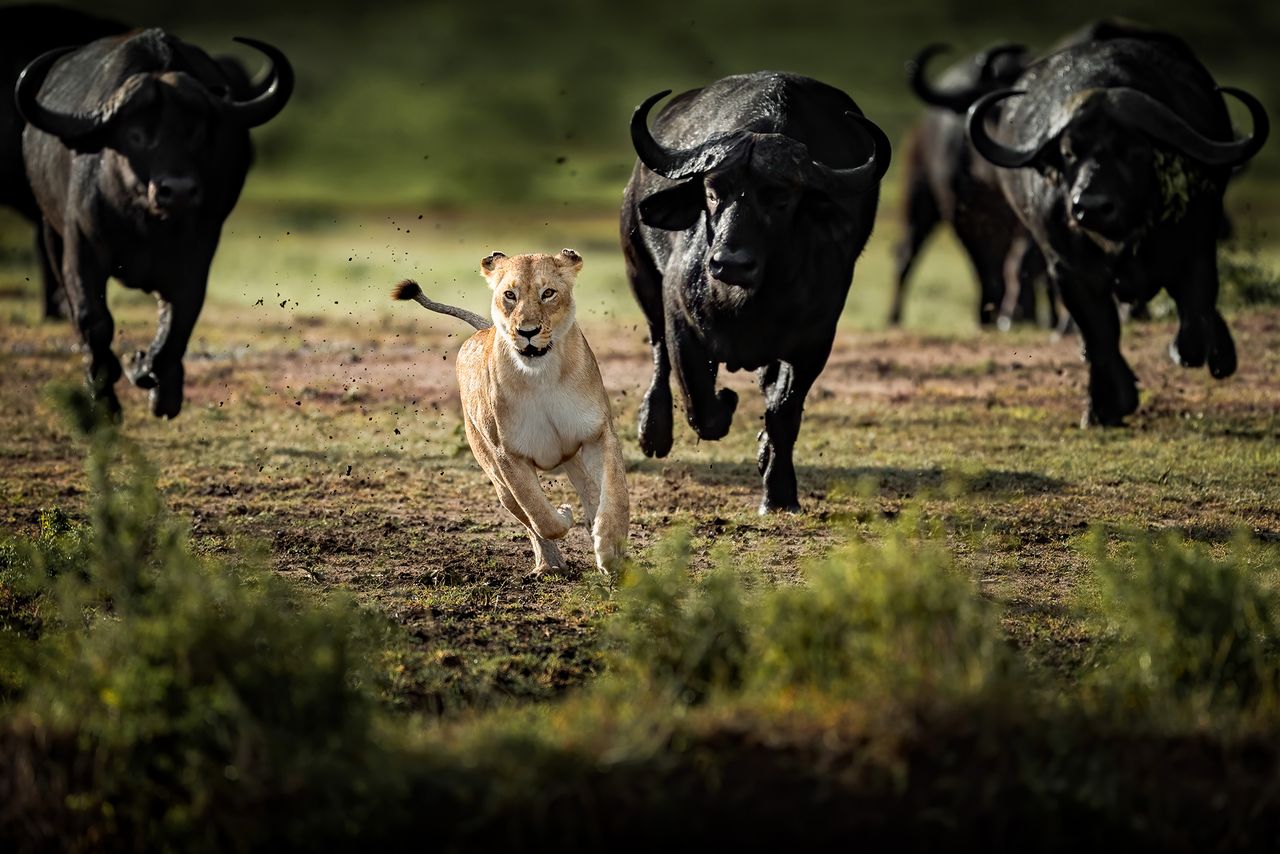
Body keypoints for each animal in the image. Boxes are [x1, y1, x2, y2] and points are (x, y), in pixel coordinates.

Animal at [19, 28, 290, 422]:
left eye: (196, 133)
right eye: (135, 135)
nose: (177, 191)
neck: (145, 225)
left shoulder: (197, 255)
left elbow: (178, 320)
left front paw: (150, 377)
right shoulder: (80, 250)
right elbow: (93, 319)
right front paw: (104, 397)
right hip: (50, 231)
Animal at [619, 73, 890, 512]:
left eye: (780, 198)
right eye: (713, 192)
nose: (729, 262)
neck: (747, 303)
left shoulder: (815, 341)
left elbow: (784, 414)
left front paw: (779, 493)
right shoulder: (680, 319)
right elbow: (701, 406)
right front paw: (726, 402)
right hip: (639, 271)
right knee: (657, 347)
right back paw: (653, 430)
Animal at [890, 42, 1049, 330]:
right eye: (996, 109)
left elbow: (1021, 261)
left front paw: (1018, 315)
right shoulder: (962, 218)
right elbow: (984, 266)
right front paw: (989, 315)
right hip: (917, 199)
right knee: (905, 254)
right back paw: (893, 318)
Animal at [972, 35, 1264, 427]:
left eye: (1135, 151)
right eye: (1069, 152)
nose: (1090, 206)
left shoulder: (1197, 246)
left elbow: (1195, 311)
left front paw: (1189, 351)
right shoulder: (1068, 269)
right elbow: (1099, 332)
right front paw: (1106, 404)